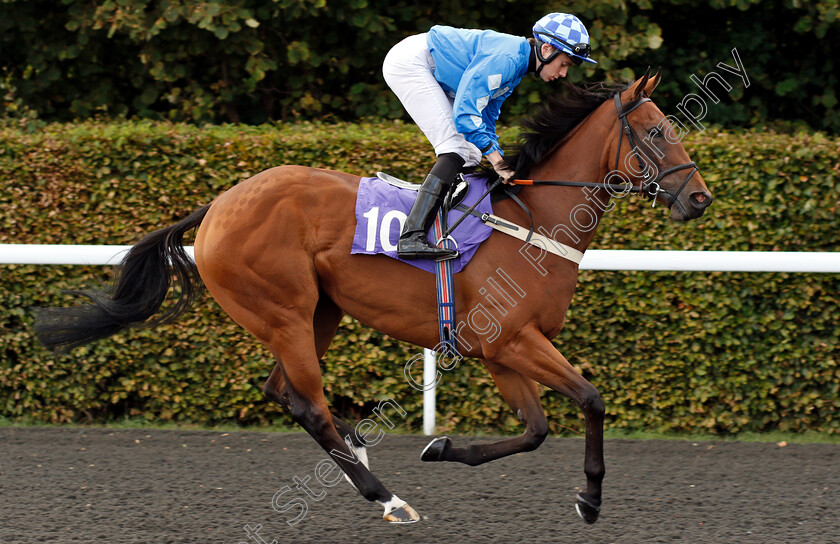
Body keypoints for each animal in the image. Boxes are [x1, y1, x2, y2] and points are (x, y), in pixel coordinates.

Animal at [36, 68, 712, 524]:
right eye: (657, 131)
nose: (700, 198)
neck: (533, 222)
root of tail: (219, 205)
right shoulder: (510, 340)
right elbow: (591, 401)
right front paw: (590, 499)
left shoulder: (502, 351)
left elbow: (536, 429)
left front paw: (442, 446)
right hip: (283, 310)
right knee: (306, 404)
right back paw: (385, 497)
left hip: (319, 311)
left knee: (284, 392)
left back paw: (362, 454)